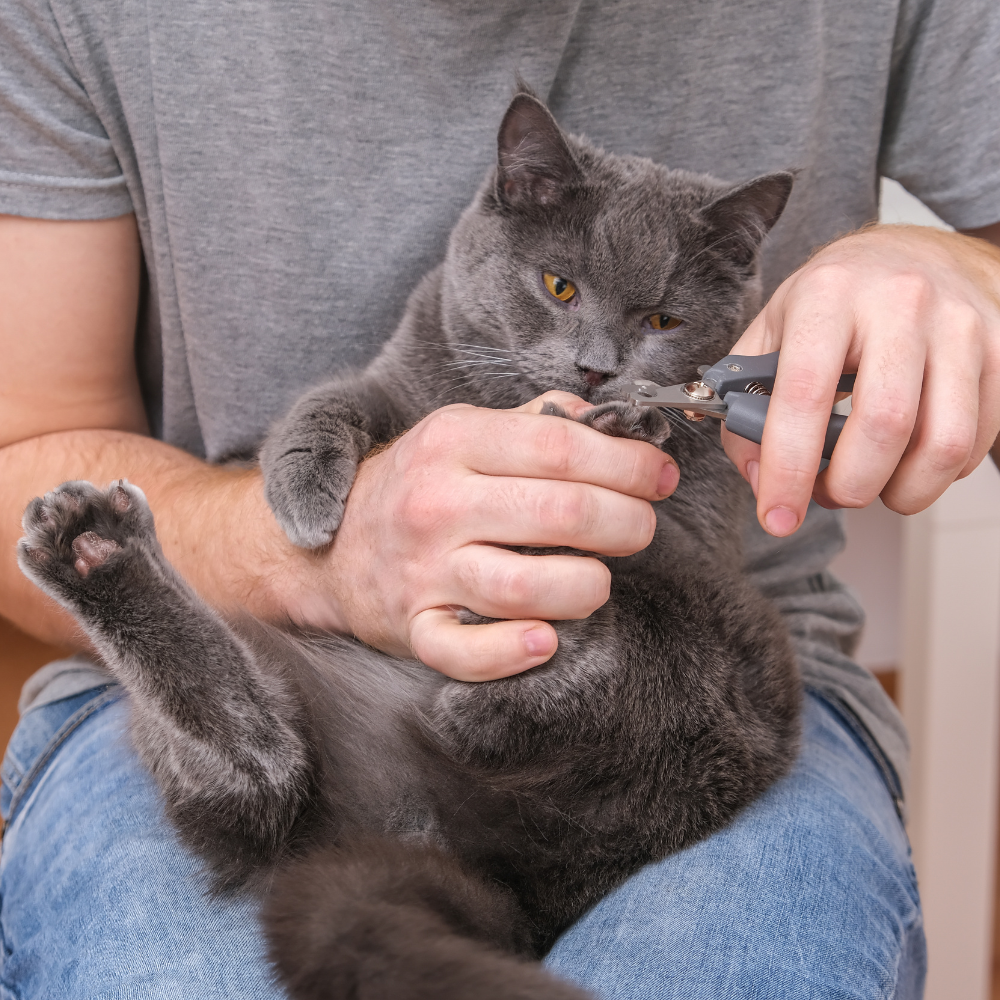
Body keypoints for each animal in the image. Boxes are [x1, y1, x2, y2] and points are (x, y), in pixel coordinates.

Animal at [19, 92, 800, 1000]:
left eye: (664, 320)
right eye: (559, 286)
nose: (598, 372)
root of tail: (491, 872)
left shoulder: (695, 531)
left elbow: (639, 534)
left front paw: (622, 430)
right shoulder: (397, 379)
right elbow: (328, 401)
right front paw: (305, 495)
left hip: (733, 648)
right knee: (262, 769)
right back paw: (92, 549)